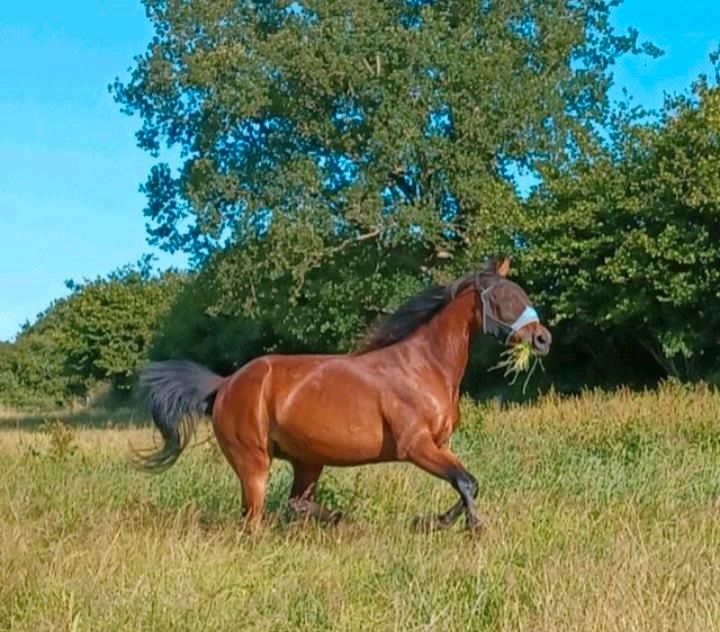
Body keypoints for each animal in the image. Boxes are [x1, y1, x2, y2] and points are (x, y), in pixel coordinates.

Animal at [139, 260, 552, 532]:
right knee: (252, 519)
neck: (424, 366)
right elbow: (465, 482)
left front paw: (433, 520)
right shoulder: (415, 445)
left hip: (308, 461)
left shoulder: (438, 444)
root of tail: (224, 385)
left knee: (297, 502)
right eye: (504, 297)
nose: (542, 339)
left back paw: (341, 520)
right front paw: (473, 527)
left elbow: (468, 482)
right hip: (253, 463)